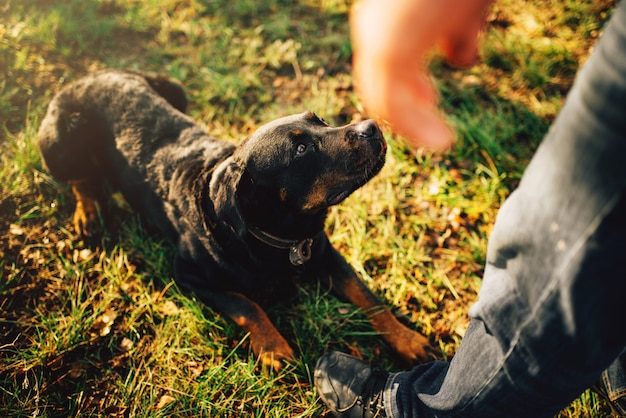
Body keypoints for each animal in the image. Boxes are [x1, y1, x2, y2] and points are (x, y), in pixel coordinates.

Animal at [37, 69, 428, 372]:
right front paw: (273, 347)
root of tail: (88, 75)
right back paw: (87, 214)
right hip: (60, 142)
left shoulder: (324, 251)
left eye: (321, 121)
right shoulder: (187, 275)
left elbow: (367, 295)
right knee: (80, 180)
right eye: (301, 149)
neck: (277, 237)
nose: (372, 126)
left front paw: (407, 339)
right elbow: (246, 305)